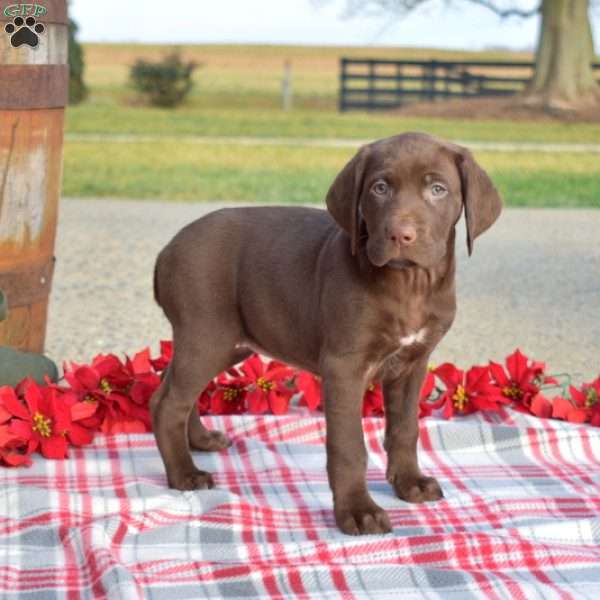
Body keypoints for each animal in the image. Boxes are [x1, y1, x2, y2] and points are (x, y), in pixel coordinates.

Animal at [150, 130, 502, 536]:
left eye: (438, 189)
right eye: (380, 187)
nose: (400, 234)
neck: (409, 284)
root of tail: (167, 250)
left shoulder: (413, 364)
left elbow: (405, 429)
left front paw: (409, 483)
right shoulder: (344, 367)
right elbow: (349, 446)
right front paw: (358, 511)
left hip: (224, 342)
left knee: (174, 388)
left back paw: (200, 440)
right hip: (207, 334)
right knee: (167, 403)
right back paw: (184, 474)